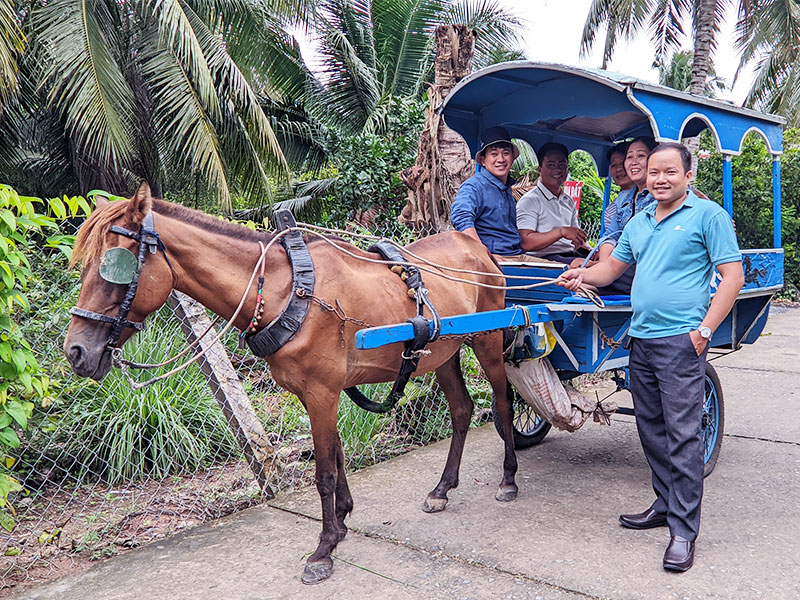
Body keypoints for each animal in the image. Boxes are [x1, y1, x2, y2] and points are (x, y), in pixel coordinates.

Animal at [62, 185, 520, 584]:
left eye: (113, 267)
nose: (75, 352)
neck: (286, 290)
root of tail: (475, 245)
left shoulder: (322, 393)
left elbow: (324, 472)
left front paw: (324, 549)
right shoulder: (317, 394)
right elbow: (337, 457)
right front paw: (342, 522)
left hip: (489, 340)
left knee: (502, 404)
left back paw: (509, 479)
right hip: (443, 352)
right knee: (461, 410)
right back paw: (442, 488)